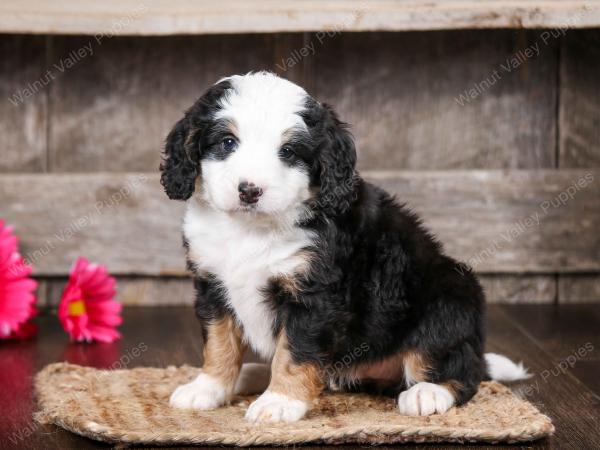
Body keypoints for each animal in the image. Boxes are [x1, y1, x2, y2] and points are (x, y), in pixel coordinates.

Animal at [158, 70, 524, 422]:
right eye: (227, 142)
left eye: (288, 152)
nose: (249, 190)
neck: (251, 230)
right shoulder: (212, 285)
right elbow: (219, 344)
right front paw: (208, 388)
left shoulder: (316, 296)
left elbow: (294, 352)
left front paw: (280, 402)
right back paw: (250, 375)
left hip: (449, 296)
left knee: (462, 371)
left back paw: (428, 393)